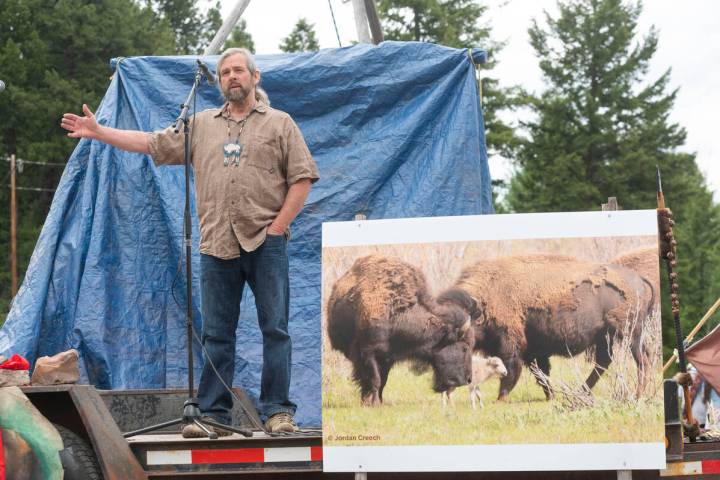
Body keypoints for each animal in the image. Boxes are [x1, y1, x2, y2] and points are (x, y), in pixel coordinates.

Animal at [328, 255, 478, 404]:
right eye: (465, 348)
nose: (468, 379)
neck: (398, 314)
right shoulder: (369, 353)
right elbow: (375, 379)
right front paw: (375, 403)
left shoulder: (388, 358)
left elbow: (383, 381)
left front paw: (380, 401)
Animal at [438, 255, 660, 402]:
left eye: (459, 334)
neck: (484, 300)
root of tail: (639, 279)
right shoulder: (533, 351)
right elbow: (541, 374)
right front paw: (551, 397)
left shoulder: (512, 345)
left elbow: (511, 371)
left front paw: (501, 399)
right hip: (607, 338)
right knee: (605, 362)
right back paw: (582, 392)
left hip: (629, 335)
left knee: (642, 361)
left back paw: (637, 395)